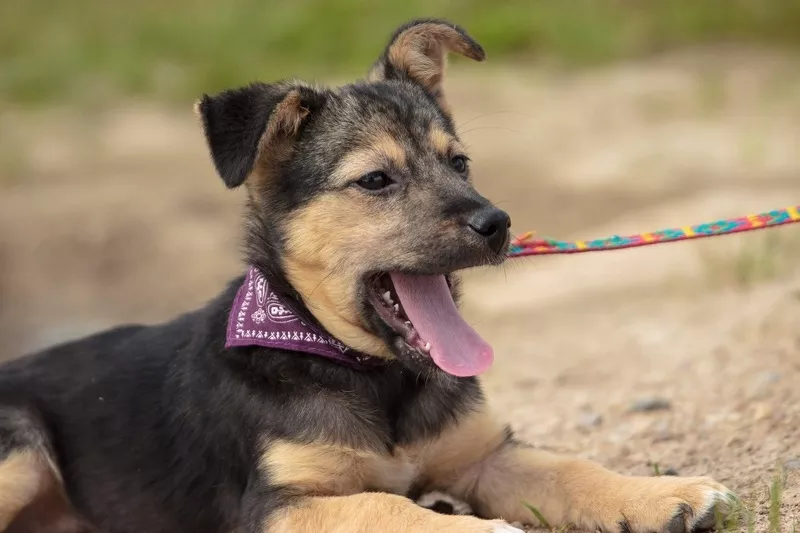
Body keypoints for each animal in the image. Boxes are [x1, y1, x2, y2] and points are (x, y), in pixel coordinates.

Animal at [0, 18, 736, 532]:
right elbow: (391, 508)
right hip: (20, 446)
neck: (371, 372)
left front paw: (662, 492)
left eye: (460, 163)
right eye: (376, 180)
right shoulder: (280, 504)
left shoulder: (482, 454)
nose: (497, 223)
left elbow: (567, 466)